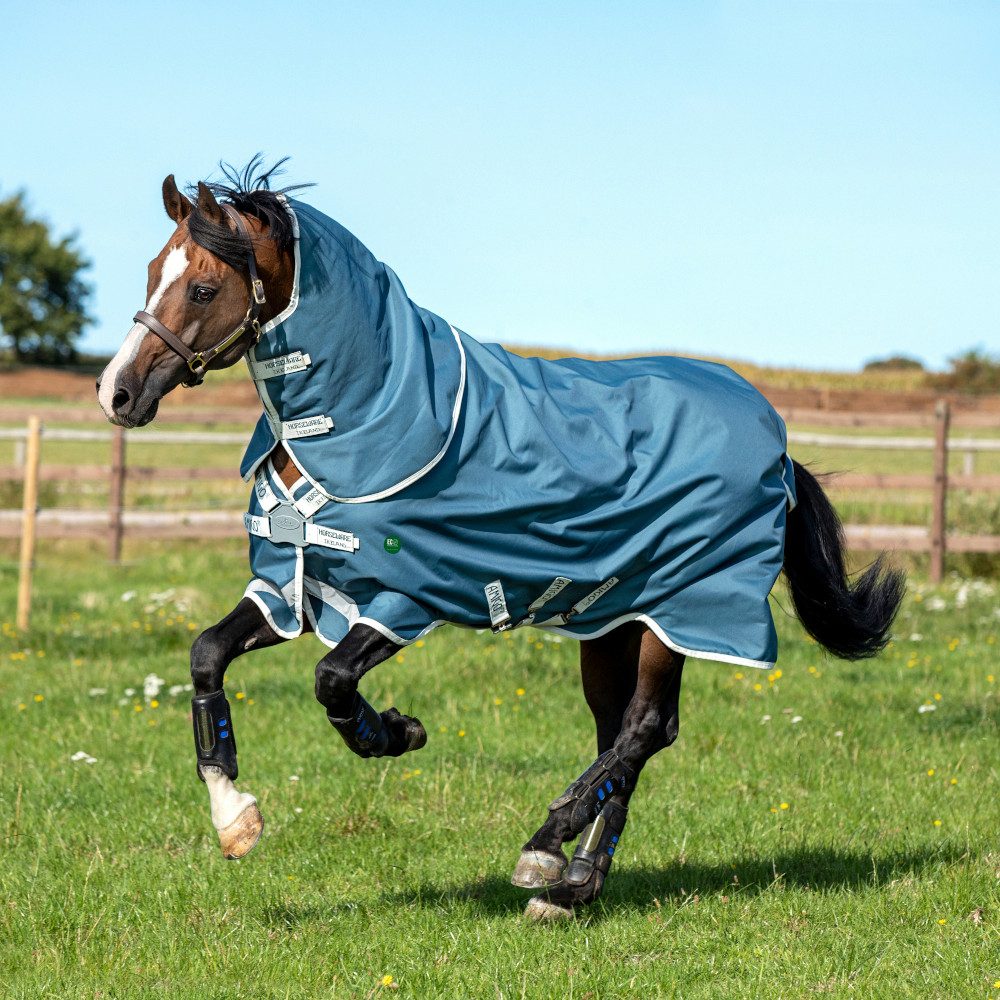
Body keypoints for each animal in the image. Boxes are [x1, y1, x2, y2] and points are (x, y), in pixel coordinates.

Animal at [97, 160, 904, 921]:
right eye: (152, 272)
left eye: (204, 289)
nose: (116, 393)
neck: (370, 419)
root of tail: (777, 446)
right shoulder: (295, 585)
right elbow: (207, 654)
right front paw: (235, 820)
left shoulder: (405, 597)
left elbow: (330, 679)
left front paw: (394, 733)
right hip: (611, 620)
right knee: (623, 732)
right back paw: (573, 885)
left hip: (681, 611)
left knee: (645, 728)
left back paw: (548, 847)